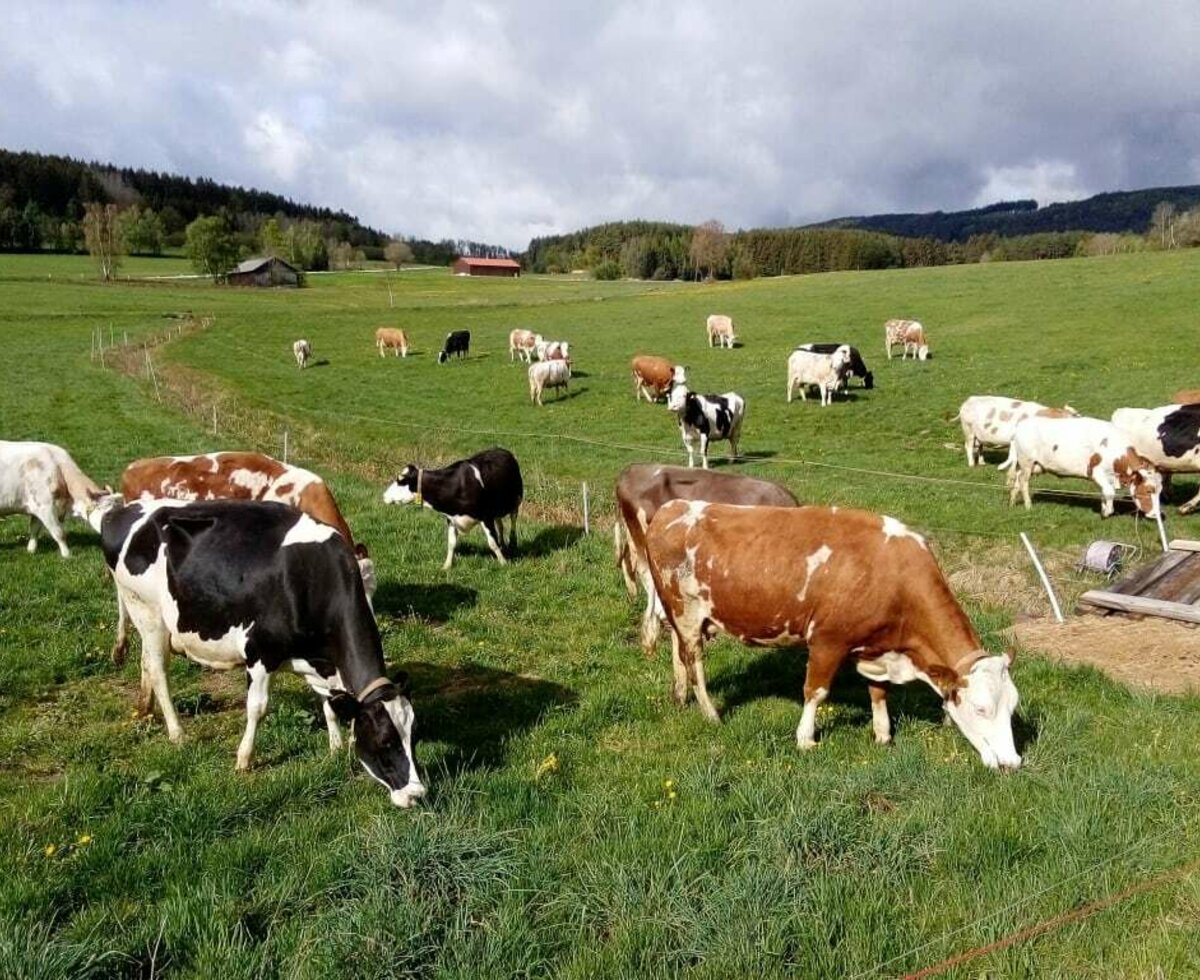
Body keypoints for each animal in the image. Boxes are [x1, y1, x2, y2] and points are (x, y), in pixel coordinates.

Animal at [91, 494, 424, 806]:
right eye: (385, 742)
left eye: (414, 737)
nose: (417, 795)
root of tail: (122, 510)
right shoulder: (261, 653)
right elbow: (257, 708)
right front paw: (244, 759)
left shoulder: (319, 662)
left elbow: (328, 703)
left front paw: (335, 747)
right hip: (148, 613)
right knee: (159, 672)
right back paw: (178, 734)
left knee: (146, 663)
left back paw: (145, 709)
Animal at [379, 446, 520, 568]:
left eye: (401, 481)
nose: (384, 495)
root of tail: (501, 449)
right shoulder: (451, 518)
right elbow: (451, 543)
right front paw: (446, 566)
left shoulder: (486, 516)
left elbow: (492, 542)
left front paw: (503, 563)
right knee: (500, 525)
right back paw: (503, 544)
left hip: (516, 500)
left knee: (513, 521)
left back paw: (512, 543)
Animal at [648, 501, 1022, 767]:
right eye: (981, 709)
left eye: (1012, 706)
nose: (1013, 763)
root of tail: (672, 507)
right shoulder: (828, 640)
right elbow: (815, 692)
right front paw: (805, 739)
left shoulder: (875, 648)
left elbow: (878, 691)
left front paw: (883, 735)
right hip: (686, 612)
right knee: (694, 660)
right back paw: (710, 712)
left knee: (678, 651)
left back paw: (680, 695)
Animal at [1003, 415, 1161, 520]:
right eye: (1148, 490)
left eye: (1160, 491)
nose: (1156, 514)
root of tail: (1022, 425)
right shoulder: (1096, 471)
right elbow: (1110, 492)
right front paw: (1107, 512)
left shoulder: (1108, 477)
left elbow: (1104, 492)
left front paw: (1104, 509)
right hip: (1027, 462)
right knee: (1024, 482)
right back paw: (1028, 506)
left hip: (1034, 465)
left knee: (1017, 479)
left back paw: (1011, 504)